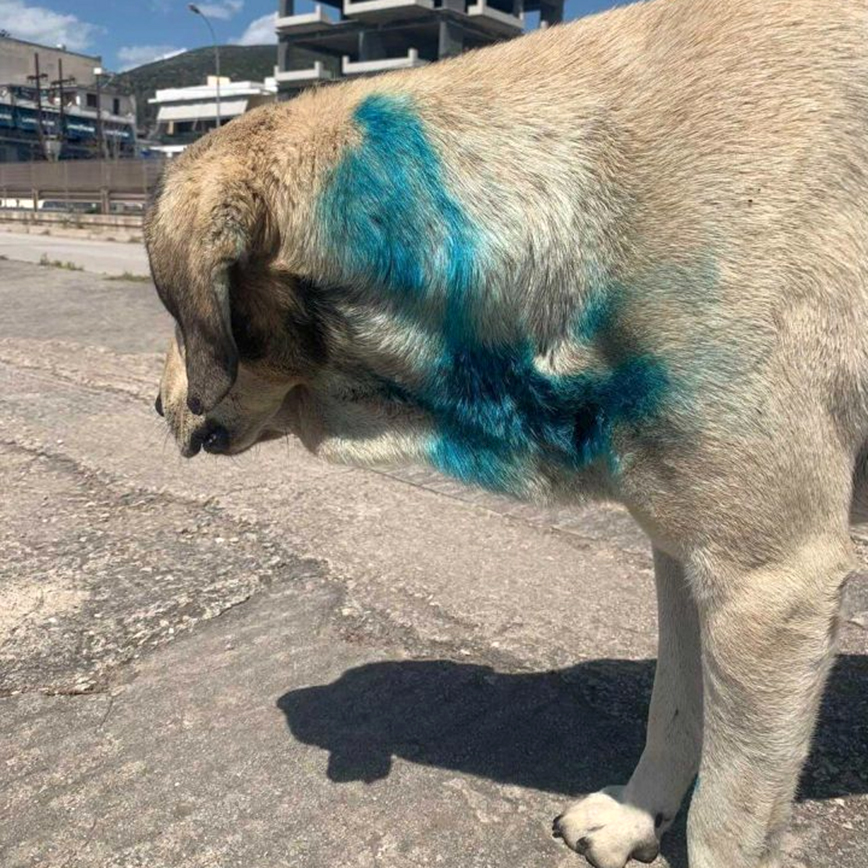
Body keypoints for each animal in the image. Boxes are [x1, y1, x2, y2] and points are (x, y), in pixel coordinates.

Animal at [145, 0, 868, 865]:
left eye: (171, 311)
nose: (153, 404)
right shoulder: (685, 549)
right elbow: (674, 702)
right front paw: (636, 814)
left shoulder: (772, 583)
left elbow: (728, 820)